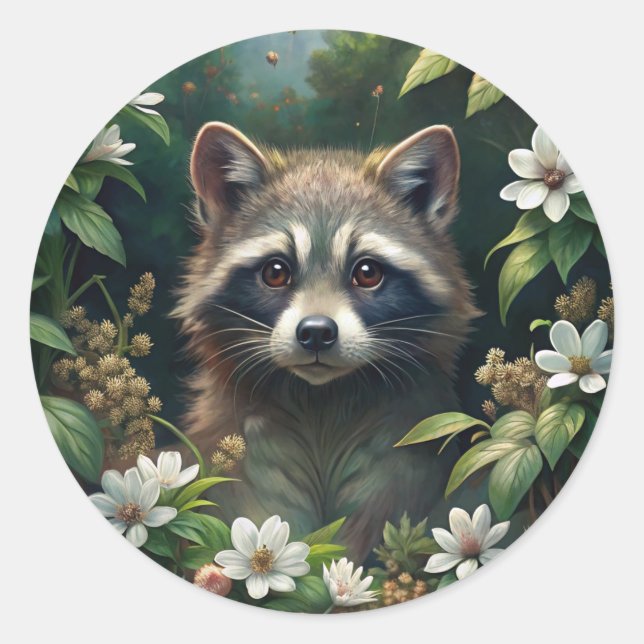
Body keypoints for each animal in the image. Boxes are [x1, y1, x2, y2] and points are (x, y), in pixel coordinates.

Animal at [173, 122, 479, 561]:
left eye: (367, 272)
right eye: (276, 272)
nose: (316, 332)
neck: (322, 401)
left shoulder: (407, 443)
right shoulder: (240, 447)